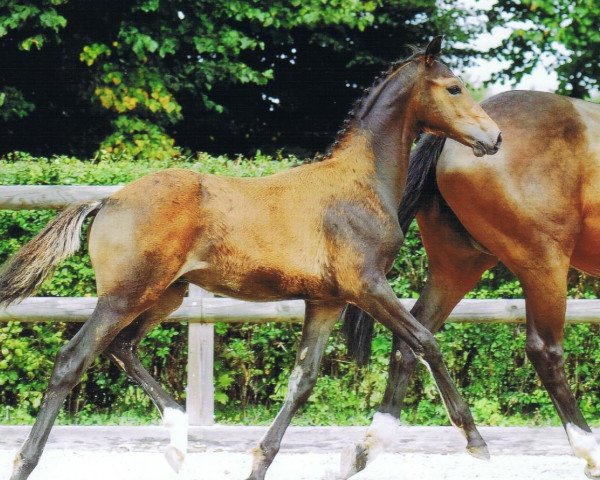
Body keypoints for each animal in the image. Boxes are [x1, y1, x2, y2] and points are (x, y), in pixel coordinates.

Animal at [1, 38, 502, 480]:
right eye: (453, 87)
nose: (495, 138)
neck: (361, 180)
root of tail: (108, 199)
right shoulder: (368, 286)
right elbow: (425, 342)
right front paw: (476, 441)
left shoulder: (327, 301)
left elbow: (302, 381)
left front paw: (260, 461)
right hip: (125, 296)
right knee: (73, 359)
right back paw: (25, 461)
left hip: (165, 296)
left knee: (122, 348)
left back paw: (179, 444)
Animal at [344, 91, 600, 480]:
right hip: (544, 261)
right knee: (545, 350)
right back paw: (589, 451)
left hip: (458, 265)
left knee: (414, 336)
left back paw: (374, 445)